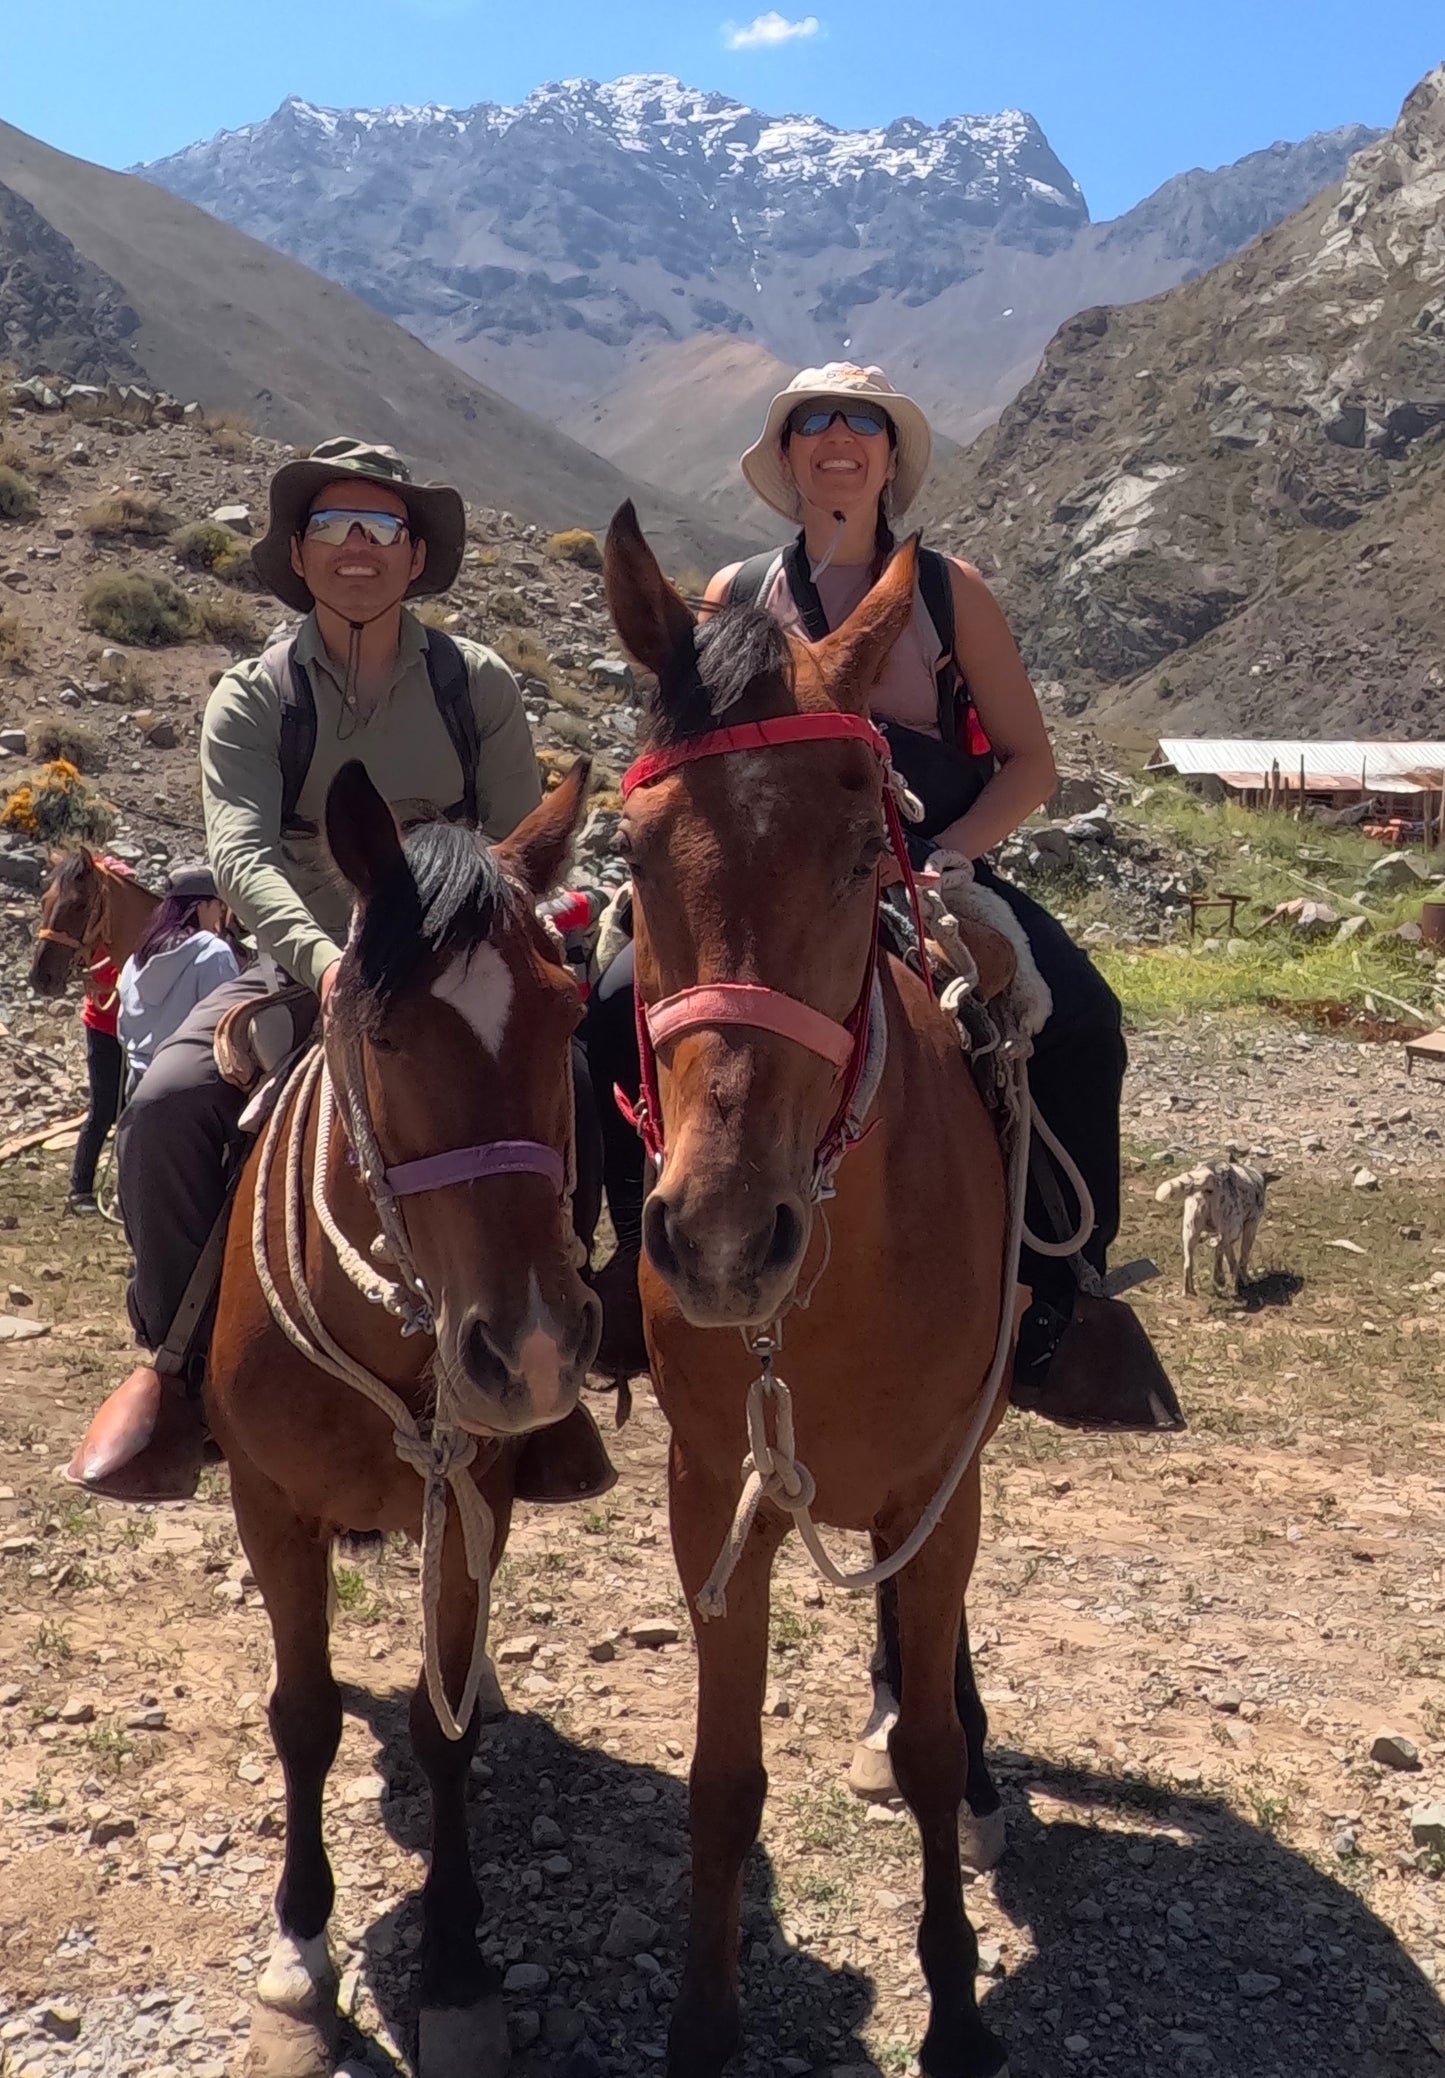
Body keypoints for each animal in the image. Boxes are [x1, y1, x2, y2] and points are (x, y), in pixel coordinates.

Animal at [205, 764, 602, 2078]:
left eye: (566, 1016)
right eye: (382, 1035)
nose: (531, 1352)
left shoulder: (473, 1495)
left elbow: (445, 1729)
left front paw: (458, 1961)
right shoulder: (269, 1506)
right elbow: (305, 1714)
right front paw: (300, 1950)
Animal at [602, 507, 1022, 2078]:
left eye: (860, 854)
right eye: (632, 850)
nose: (726, 1239)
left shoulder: (938, 1488)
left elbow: (933, 1754)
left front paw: (956, 2008)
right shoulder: (711, 1492)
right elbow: (722, 1778)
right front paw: (702, 2021)